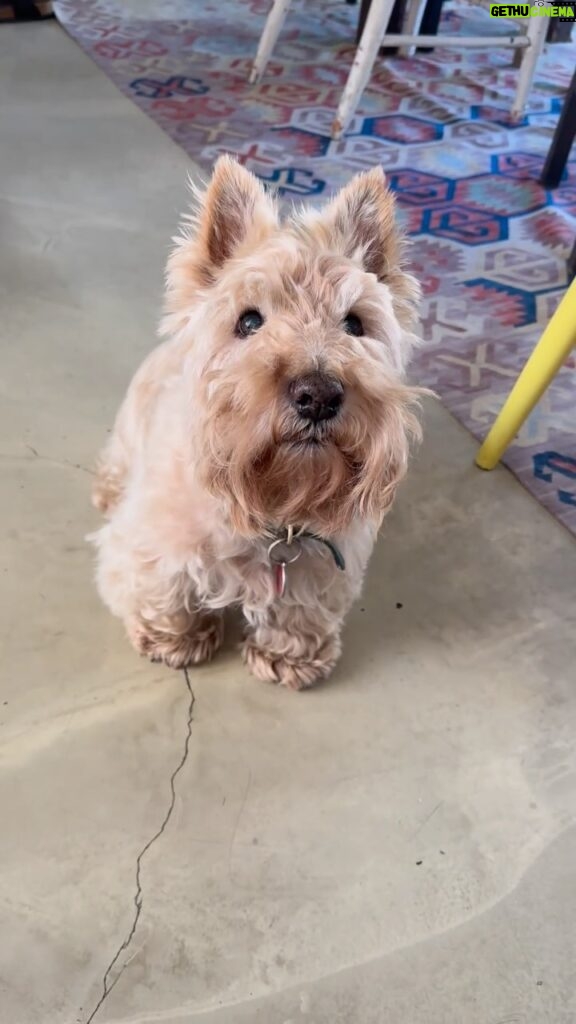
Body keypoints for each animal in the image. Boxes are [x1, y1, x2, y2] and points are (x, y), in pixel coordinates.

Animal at [90, 157, 422, 688]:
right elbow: (162, 591)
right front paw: (176, 640)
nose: (318, 395)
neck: (274, 506)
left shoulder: (325, 561)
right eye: (248, 321)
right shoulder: (148, 547)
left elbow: (301, 610)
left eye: (355, 323)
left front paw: (289, 655)